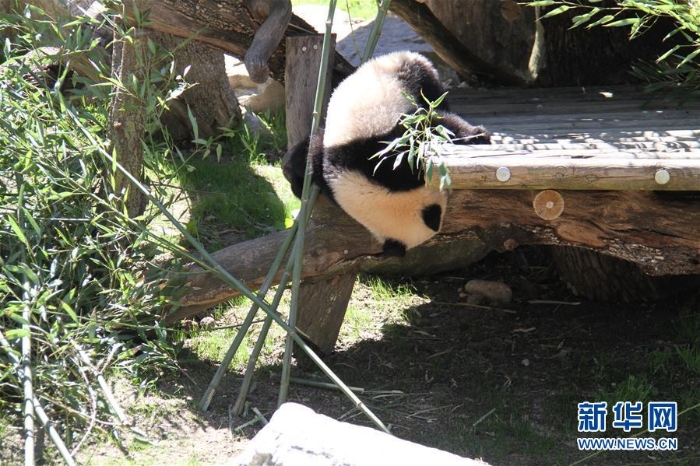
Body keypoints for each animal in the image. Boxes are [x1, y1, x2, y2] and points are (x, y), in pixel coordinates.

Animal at [282, 51, 490, 256]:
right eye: (438, 215)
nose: (438, 224)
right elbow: (311, 154)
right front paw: (296, 180)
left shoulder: (383, 156)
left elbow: (426, 130)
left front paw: (475, 134)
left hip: (408, 77)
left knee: (431, 100)